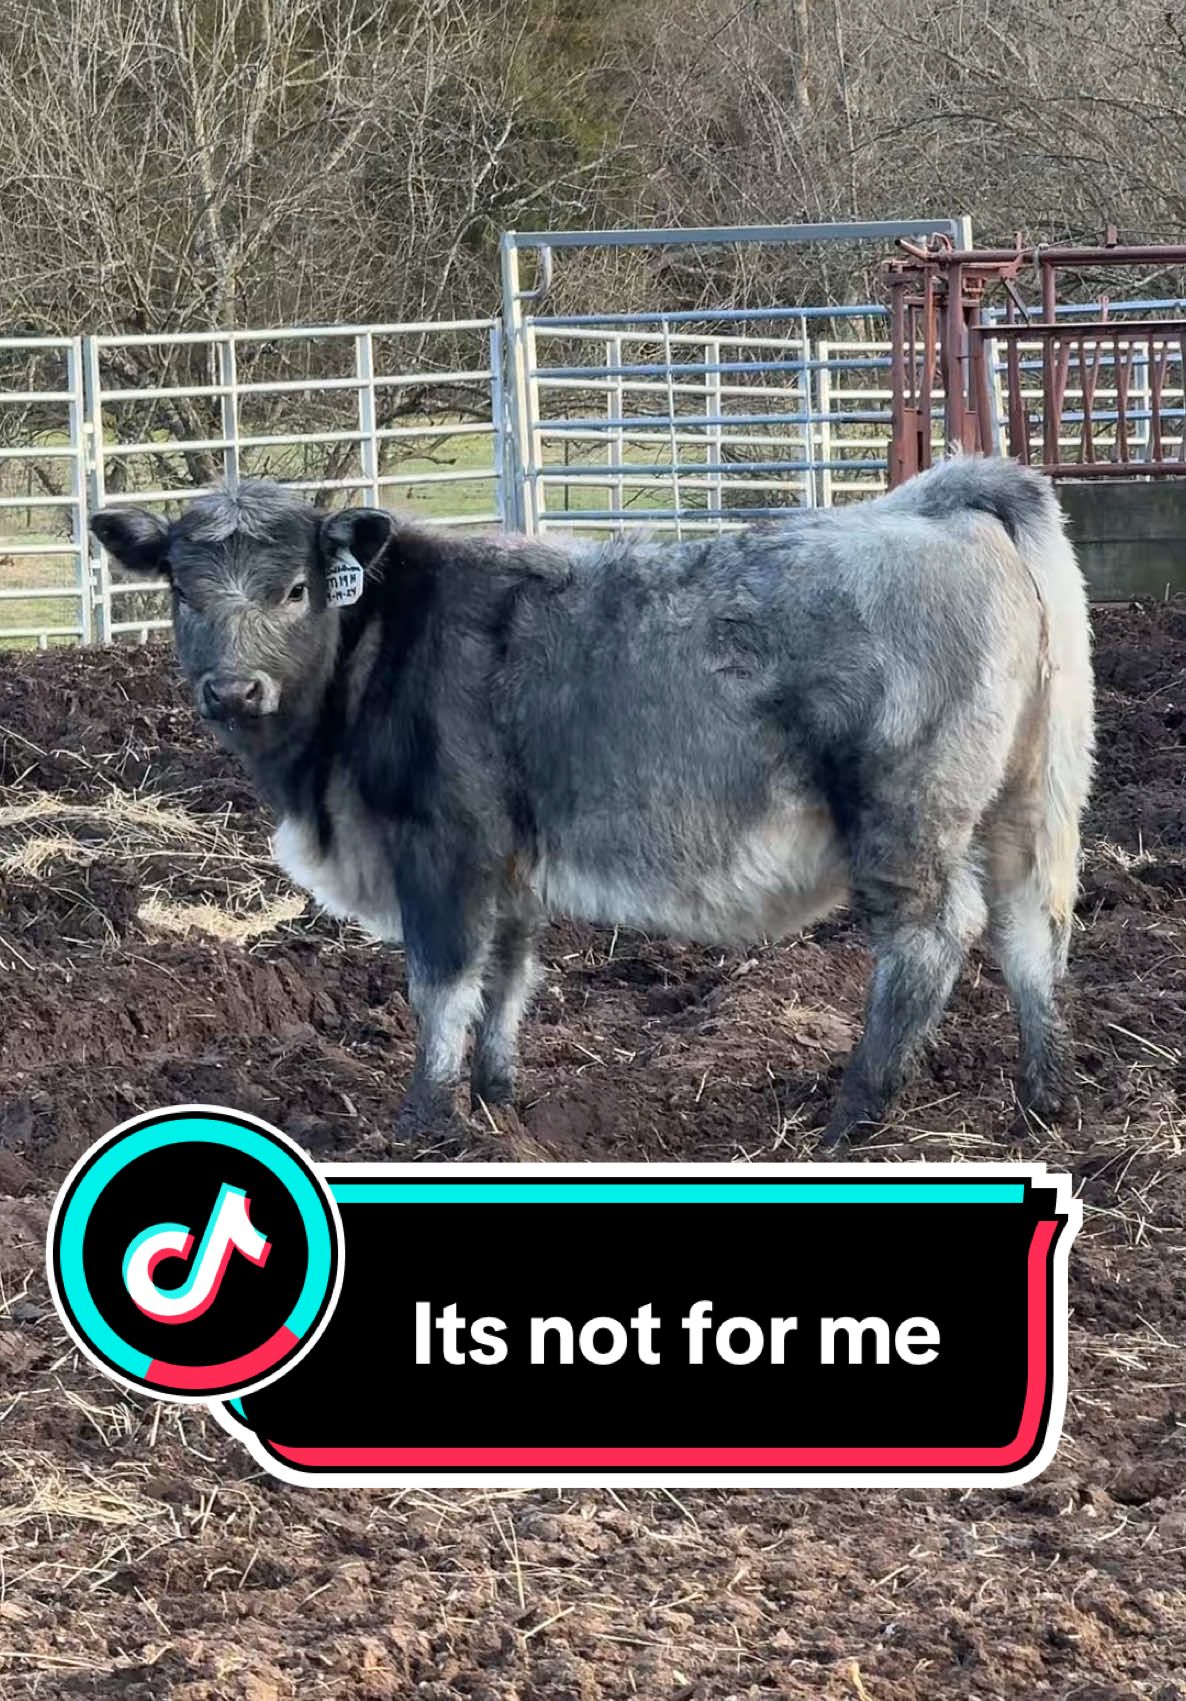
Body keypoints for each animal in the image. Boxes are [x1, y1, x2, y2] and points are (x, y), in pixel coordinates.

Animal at [91, 455, 1094, 1146]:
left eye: (296, 586)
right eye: (181, 587)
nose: (232, 690)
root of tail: (940, 501)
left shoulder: (443, 849)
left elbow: (440, 984)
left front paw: (424, 1121)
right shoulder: (508, 863)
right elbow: (507, 978)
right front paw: (497, 1106)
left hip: (907, 817)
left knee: (933, 935)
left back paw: (855, 1112)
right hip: (1018, 803)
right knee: (1027, 927)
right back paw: (1042, 1095)